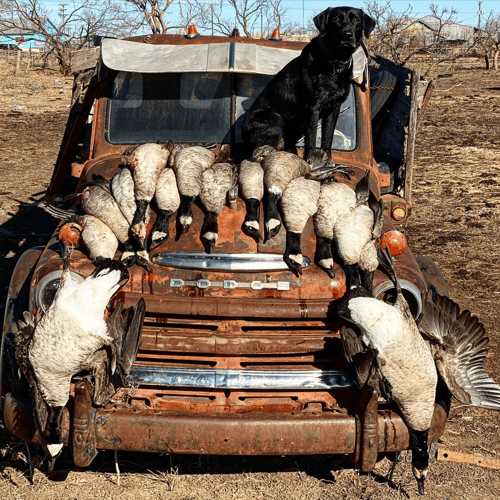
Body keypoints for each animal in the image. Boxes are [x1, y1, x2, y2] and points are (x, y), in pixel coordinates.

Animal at [241, 6, 376, 162]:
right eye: (336, 20)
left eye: (356, 20)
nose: (347, 35)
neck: (335, 63)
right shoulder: (312, 107)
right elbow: (311, 136)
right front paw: (310, 160)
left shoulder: (334, 108)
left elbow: (328, 136)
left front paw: (327, 160)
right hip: (274, 118)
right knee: (261, 149)